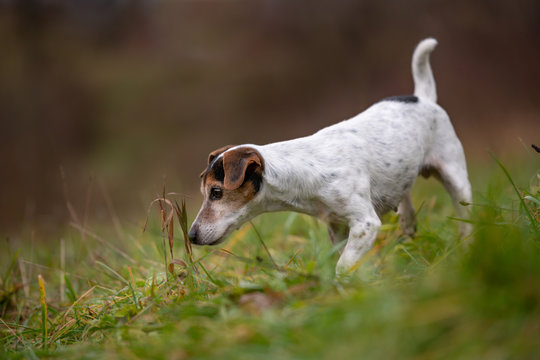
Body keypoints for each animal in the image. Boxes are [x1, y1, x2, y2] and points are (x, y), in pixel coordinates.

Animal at [188, 38, 470, 274]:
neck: (304, 170)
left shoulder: (365, 224)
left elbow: (342, 266)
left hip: (456, 178)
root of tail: (422, 97)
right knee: (406, 201)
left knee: (465, 217)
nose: (191, 236)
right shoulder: (337, 227)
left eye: (216, 193)